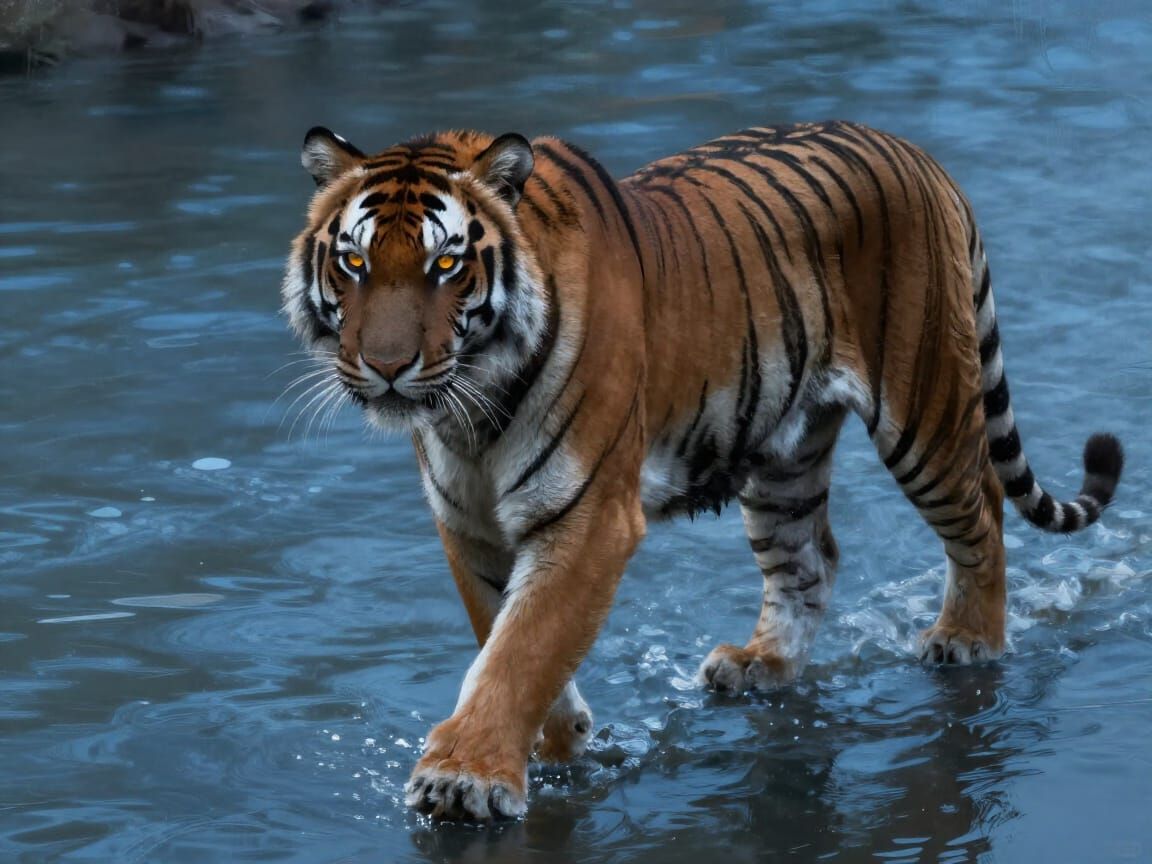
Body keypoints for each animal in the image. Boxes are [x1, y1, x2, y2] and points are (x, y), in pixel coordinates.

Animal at [280, 121, 1123, 821]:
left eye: (446, 264)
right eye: (354, 262)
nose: (387, 367)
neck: (471, 410)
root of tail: (915, 153)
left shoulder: (589, 516)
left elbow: (524, 648)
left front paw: (465, 779)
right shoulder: (470, 526)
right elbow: (503, 636)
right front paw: (560, 743)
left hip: (925, 407)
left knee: (983, 513)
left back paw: (966, 640)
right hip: (783, 456)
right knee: (811, 559)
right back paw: (762, 664)